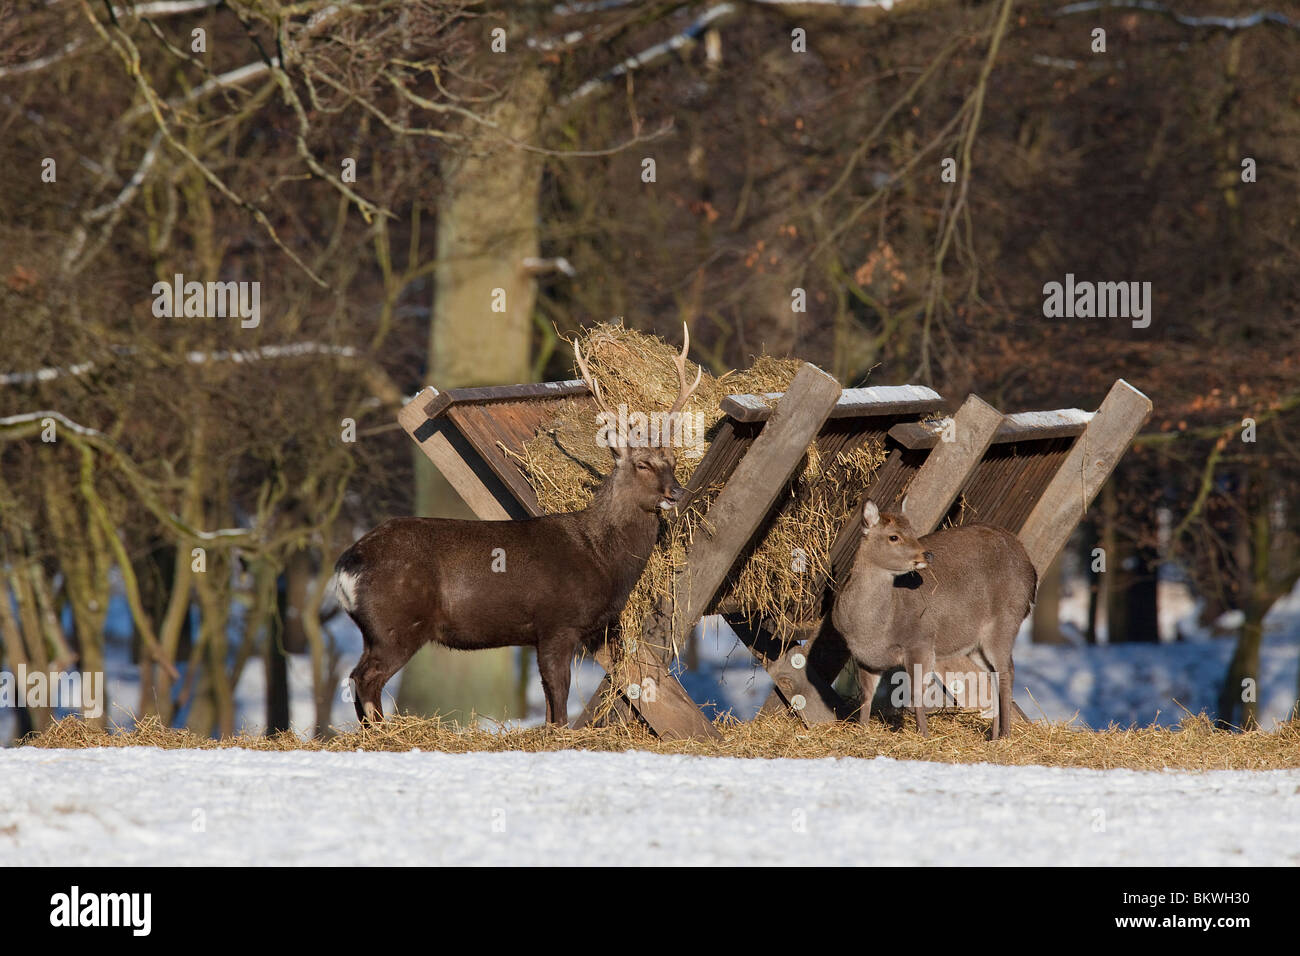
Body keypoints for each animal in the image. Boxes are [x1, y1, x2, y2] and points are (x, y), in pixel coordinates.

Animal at [333, 325, 702, 727]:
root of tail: (346, 565)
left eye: (673, 461)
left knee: (358, 677)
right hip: (395, 624)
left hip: (376, 631)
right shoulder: (557, 622)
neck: (601, 557)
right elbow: (558, 694)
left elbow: (558, 699)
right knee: (364, 678)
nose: (676, 492)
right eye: (643, 464)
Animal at [831, 499, 1037, 739]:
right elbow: (866, 695)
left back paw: (1005, 735)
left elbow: (915, 693)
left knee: (1007, 671)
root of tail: (1031, 570)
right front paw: (862, 730)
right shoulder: (865, 658)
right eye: (894, 537)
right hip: (976, 645)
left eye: (913, 532)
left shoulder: (921, 641)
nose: (926, 555)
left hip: (1005, 621)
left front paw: (923, 735)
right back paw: (992, 737)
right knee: (992, 675)